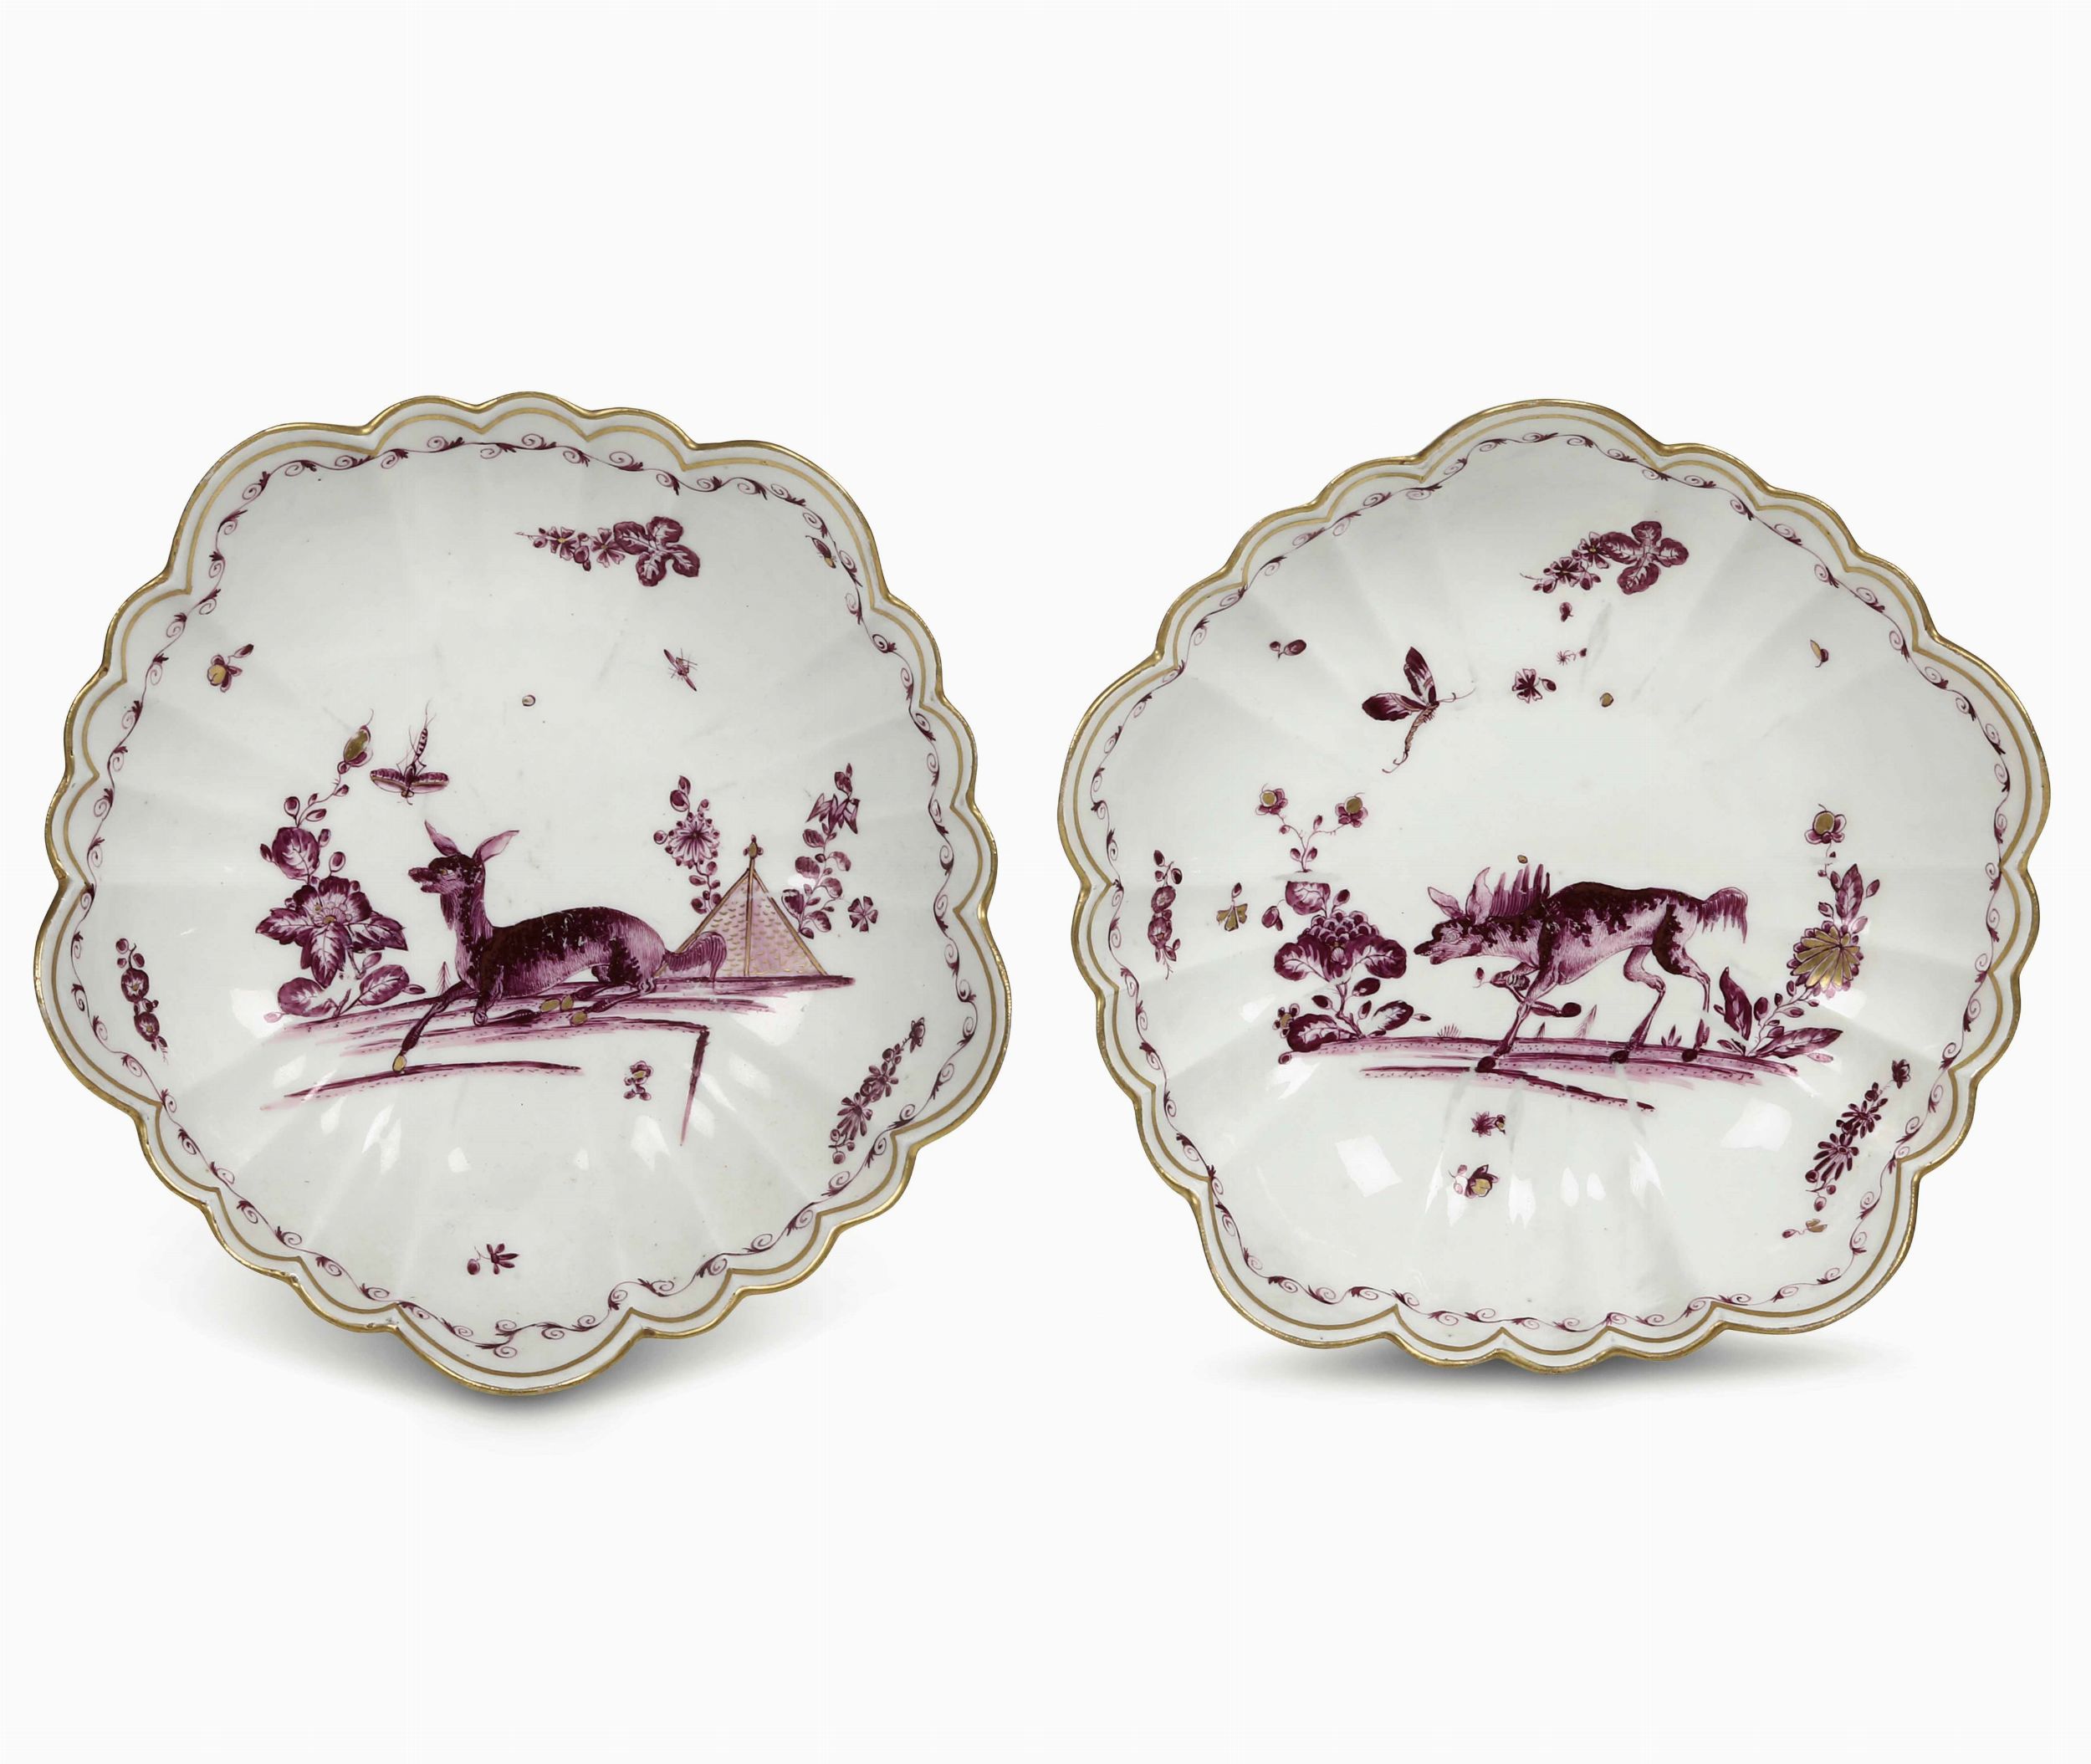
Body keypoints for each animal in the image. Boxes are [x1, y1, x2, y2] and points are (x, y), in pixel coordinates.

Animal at [389, 823, 727, 1071]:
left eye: (447, 869)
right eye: (434, 862)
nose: (414, 872)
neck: (482, 942)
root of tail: (661, 945)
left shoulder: (492, 990)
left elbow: (480, 1018)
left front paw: (526, 1012)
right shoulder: (469, 984)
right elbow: (440, 1002)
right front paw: (406, 1046)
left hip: (631, 960)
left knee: (646, 986)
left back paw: (587, 1008)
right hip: (604, 964)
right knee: (614, 981)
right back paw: (577, 996)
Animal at [1415, 865, 1748, 1071]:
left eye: (1451, 935)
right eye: (1435, 930)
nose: (1420, 950)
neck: (1534, 928)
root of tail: (1699, 903)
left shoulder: (1552, 972)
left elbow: (1524, 1005)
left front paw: (1496, 1053)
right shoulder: (1531, 965)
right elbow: (1507, 982)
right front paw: (1554, 1010)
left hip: (1669, 951)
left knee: (1704, 978)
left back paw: (1695, 1046)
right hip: (1641, 955)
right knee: (1662, 985)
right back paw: (1627, 1048)